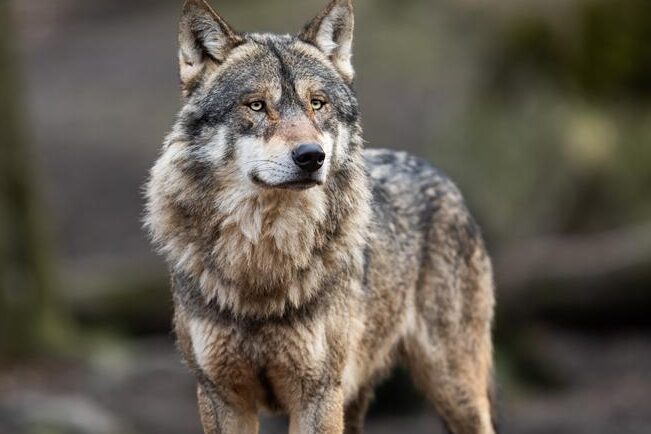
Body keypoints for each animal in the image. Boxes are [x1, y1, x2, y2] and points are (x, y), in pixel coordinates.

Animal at [144, 0, 496, 433]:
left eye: (317, 103)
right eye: (257, 105)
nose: (312, 156)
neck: (262, 264)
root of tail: (436, 172)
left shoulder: (317, 394)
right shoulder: (220, 396)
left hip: (452, 388)